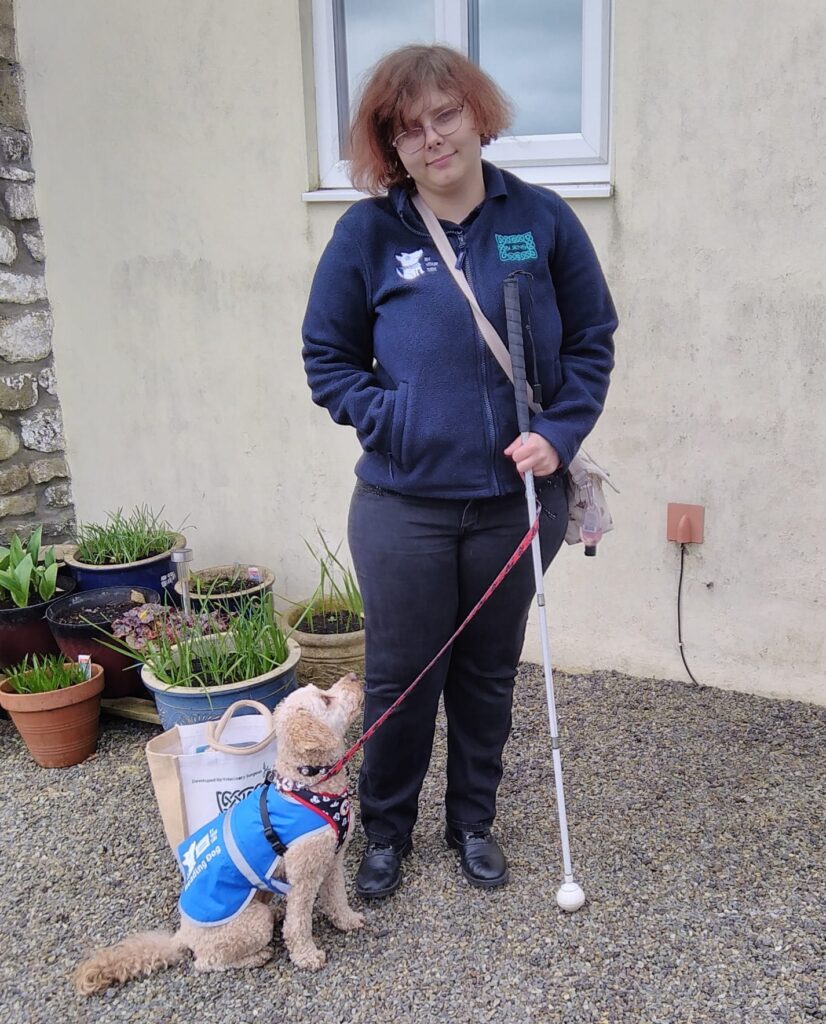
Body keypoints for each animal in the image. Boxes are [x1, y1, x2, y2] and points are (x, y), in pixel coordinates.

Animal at [75, 671, 364, 991]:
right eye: (326, 699)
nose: (354, 676)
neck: (309, 786)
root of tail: (182, 935)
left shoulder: (332, 860)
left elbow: (337, 896)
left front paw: (347, 920)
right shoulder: (303, 876)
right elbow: (298, 924)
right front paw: (307, 956)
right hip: (250, 923)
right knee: (208, 962)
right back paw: (257, 955)